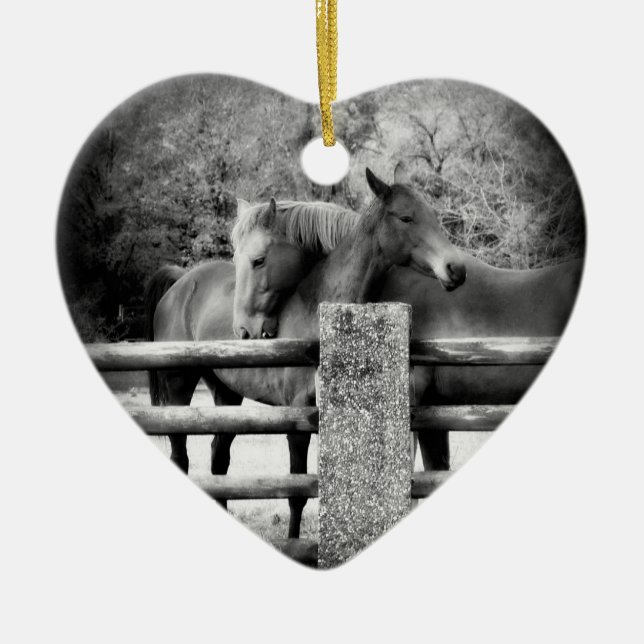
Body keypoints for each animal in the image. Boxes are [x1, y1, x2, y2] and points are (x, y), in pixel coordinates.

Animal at [145, 167, 467, 537]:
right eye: (406, 217)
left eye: (433, 216)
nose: (456, 269)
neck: (319, 311)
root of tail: (181, 283)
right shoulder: (297, 420)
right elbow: (297, 491)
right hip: (179, 388)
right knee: (181, 457)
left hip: (226, 393)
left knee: (218, 460)